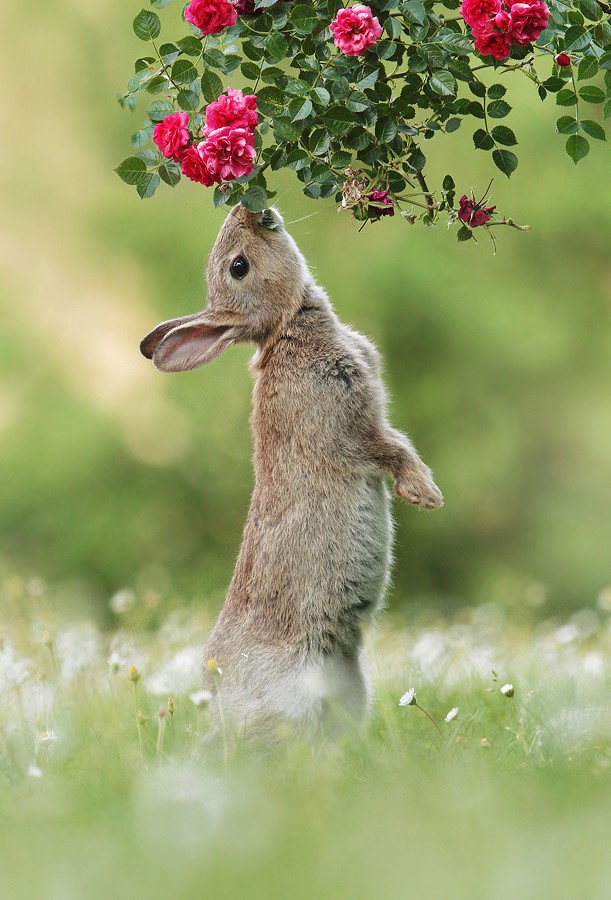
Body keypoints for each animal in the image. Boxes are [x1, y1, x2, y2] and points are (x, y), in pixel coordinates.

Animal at [141, 206, 442, 744]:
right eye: (238, 267)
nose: (248, 209)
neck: (286, 327)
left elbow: (395, 443)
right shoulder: (348, 428)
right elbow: (391, 450)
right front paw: (426, 494)